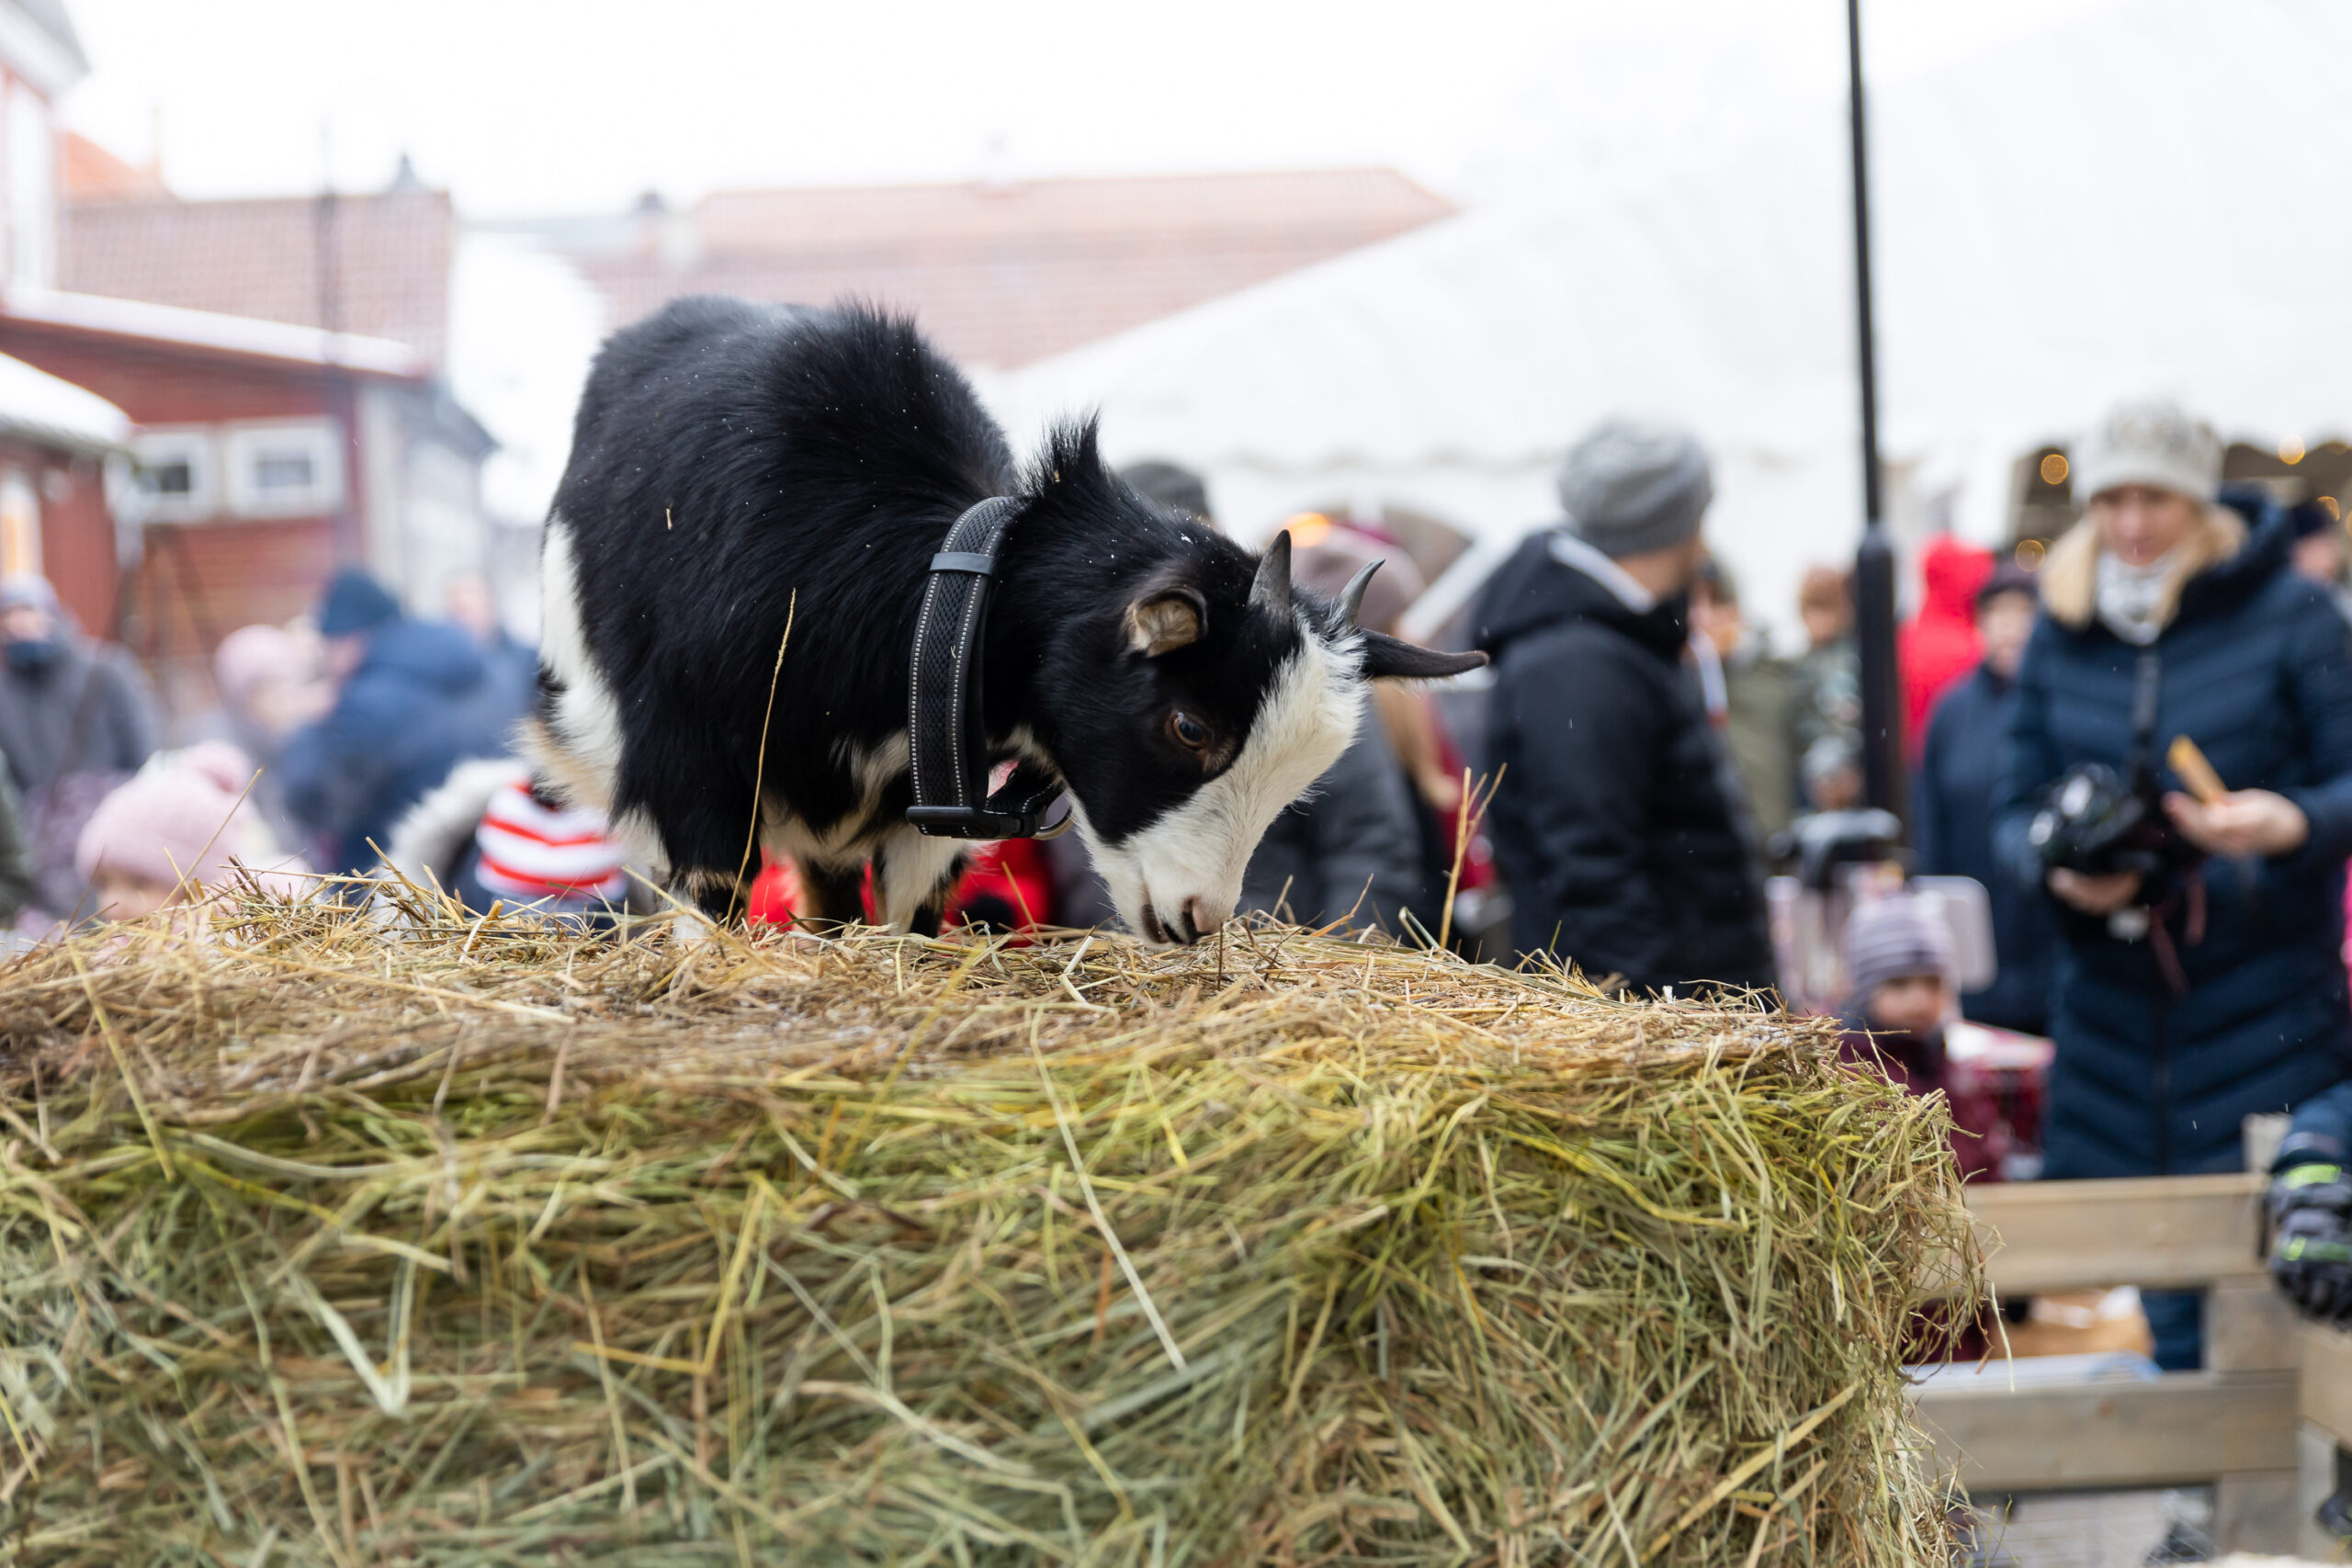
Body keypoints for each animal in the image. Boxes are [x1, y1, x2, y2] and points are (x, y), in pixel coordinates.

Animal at [536, 300, 1486, 944]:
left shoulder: (928, 807)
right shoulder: (688, 771)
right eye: (1189, 725)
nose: (1197, 916)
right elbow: (711, 903)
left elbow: (910, 920)